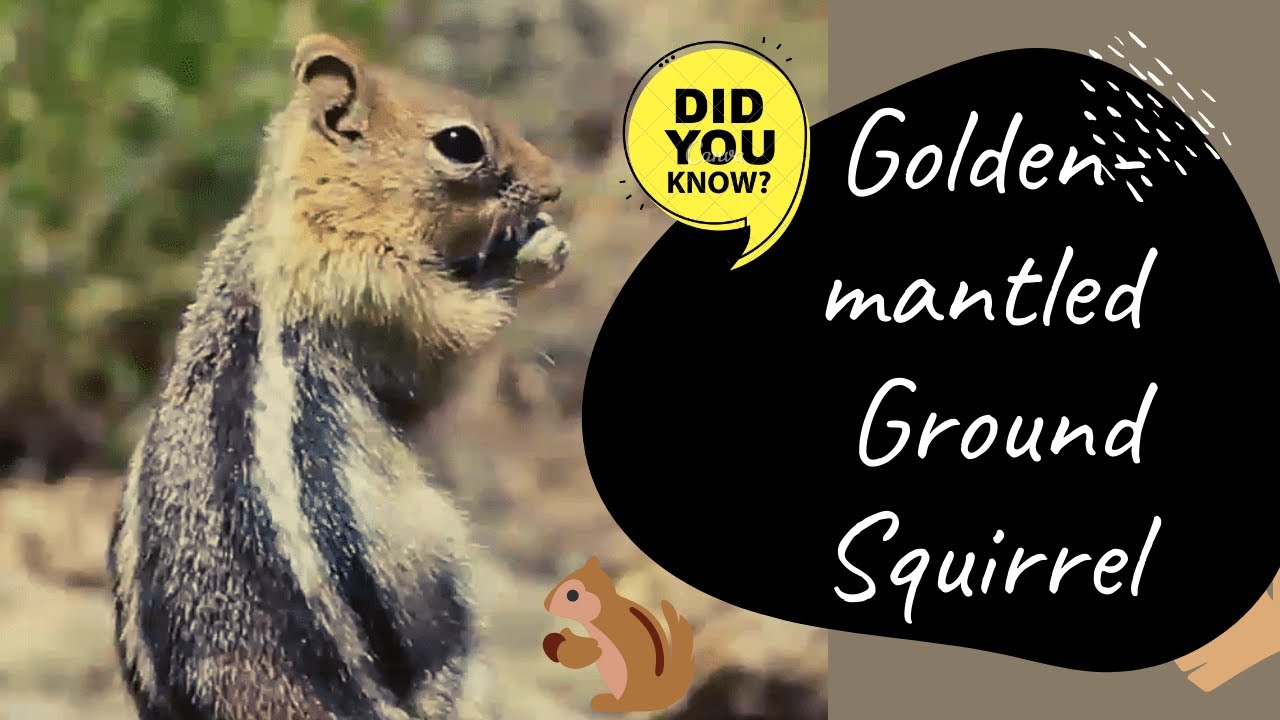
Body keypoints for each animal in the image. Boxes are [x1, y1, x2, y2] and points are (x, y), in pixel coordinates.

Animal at [106, 32, 569, 720]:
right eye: (460, 143)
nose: (553, 186)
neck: (302, 212)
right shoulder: (380, 294)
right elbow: (457, 342)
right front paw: (537, 254)